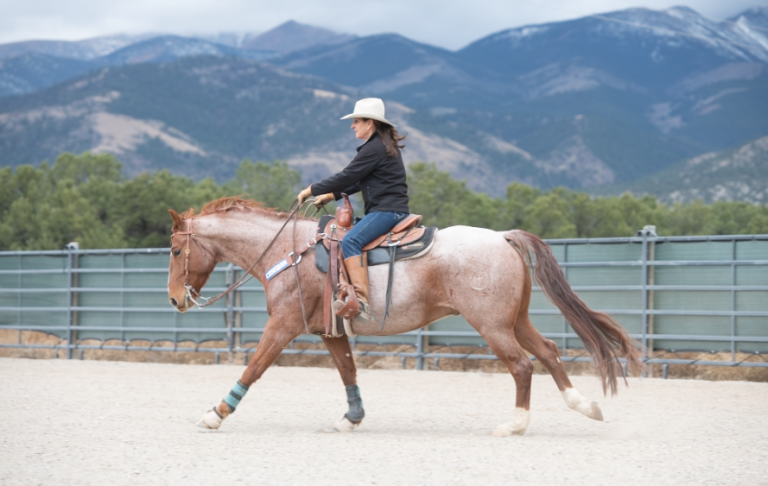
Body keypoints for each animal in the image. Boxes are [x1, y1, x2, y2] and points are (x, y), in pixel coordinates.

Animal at [167, 196, 643, 436]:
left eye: (173, 250)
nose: (174, 300)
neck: (289, 250)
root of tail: (503, 238)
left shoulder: (282, 326)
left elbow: (255, 367)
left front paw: (215, 414)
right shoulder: (329, 331)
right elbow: (347, 370)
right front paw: (352, 417)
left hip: (492, 325)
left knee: (522, 365)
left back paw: (515, 424)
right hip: (516, 319)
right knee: (547, 352)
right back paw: (584, 406)